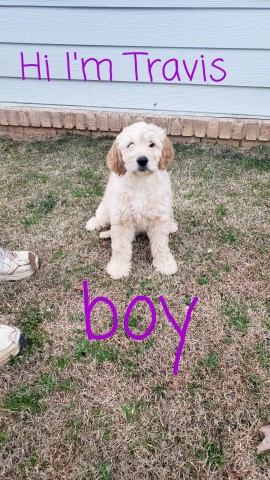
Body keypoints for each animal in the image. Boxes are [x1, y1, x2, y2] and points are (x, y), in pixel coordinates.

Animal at [86, 121, 177, 282]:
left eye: (152, 144)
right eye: (130, 145)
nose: (142, 160)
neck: (140, 182)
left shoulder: (159, 217)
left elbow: (161, 244)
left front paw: (165, 263)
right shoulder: (122, 218)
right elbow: (120, 247)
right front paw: (118, 268)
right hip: (105, 211)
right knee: (101, 219)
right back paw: (95, 225)